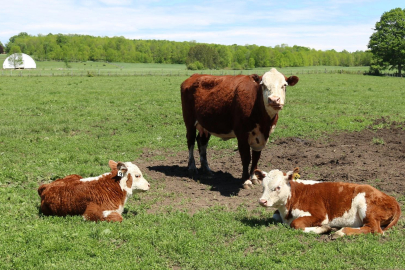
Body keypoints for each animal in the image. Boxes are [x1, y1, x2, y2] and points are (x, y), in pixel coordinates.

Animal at [258, 168, 400, 237]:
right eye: (263, 186)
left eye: (278, 187)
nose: (262, 201)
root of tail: (392, 199)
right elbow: (275, 216)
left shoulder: (320, 215)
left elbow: (296, 224)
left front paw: (324, 228)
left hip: (365, 206)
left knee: (375, 229)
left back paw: (341, 232)